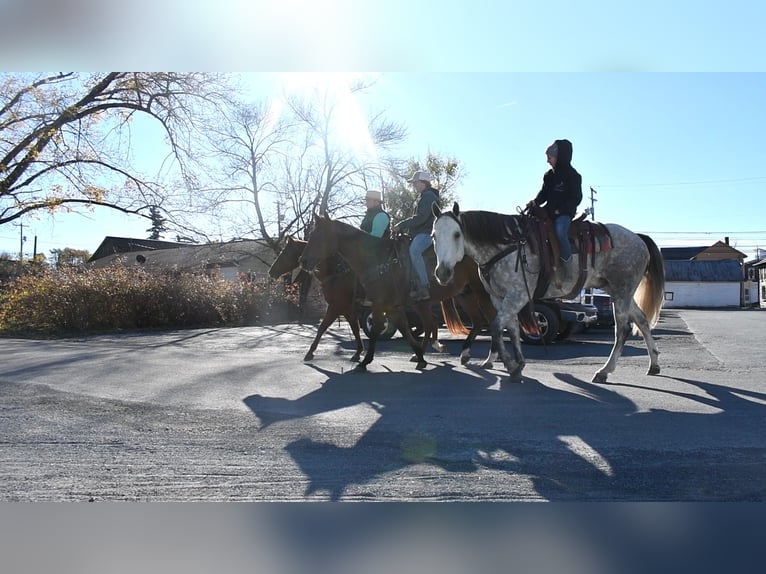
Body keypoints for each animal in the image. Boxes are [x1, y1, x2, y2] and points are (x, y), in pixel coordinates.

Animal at [296, 216, 508, 374]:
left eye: (319, 235)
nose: (303, 261)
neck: (378, 260)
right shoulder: (390, 306)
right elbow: (404, 329)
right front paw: (420, 357)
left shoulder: (370, 305)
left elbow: (368, 330)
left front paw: (364, 361)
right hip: (465, 295)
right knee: (474, 322)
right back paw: (464, 354)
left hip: (481, 293)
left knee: (491, 320)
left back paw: (490, 358)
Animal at [432, 204, 664, 388]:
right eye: (434, 235)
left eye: (457, 234)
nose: (442, 272)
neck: (507, 247)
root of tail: (639, 238)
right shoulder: (500, 298)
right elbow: (512, 328)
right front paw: (519, 365)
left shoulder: (517, 296)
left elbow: (498, 326)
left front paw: (510, 365)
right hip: (620, 292)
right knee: (642, 320)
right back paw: (654, 364)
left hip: (622, 292)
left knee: (622, 330)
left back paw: (604, 371)